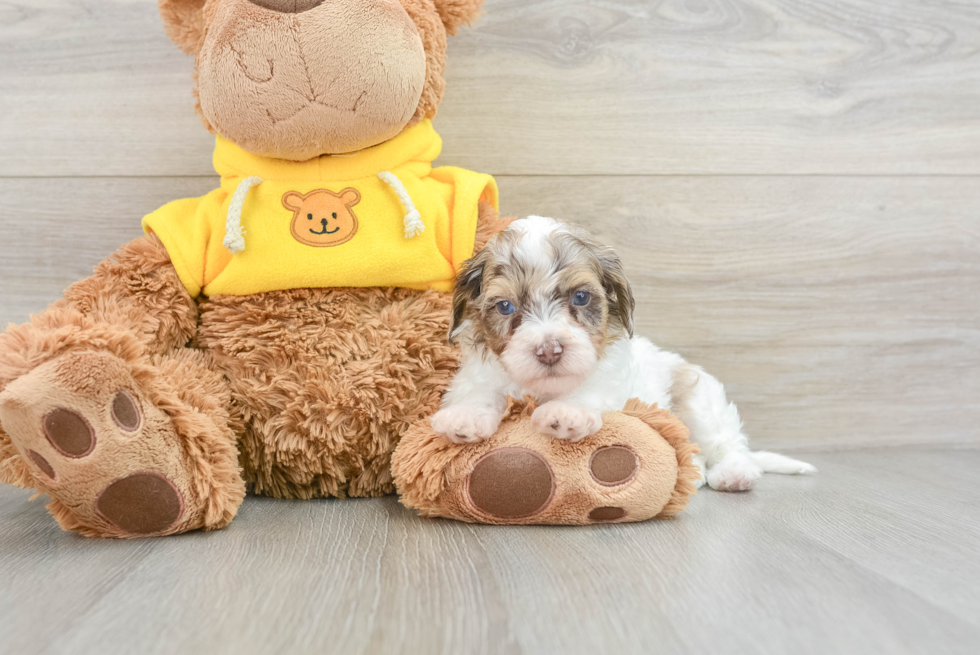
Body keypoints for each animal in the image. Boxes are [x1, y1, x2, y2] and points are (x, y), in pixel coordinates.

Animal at [432, 217, 816, 492]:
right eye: (505, 306)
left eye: (581, 297)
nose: (549, 350)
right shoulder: (480, 375)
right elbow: (480, 393)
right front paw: (465, 418)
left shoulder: (612, 382)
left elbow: (589, 392)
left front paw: (566, 413)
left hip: (700, 401)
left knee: (726, 445)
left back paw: (733, 473)